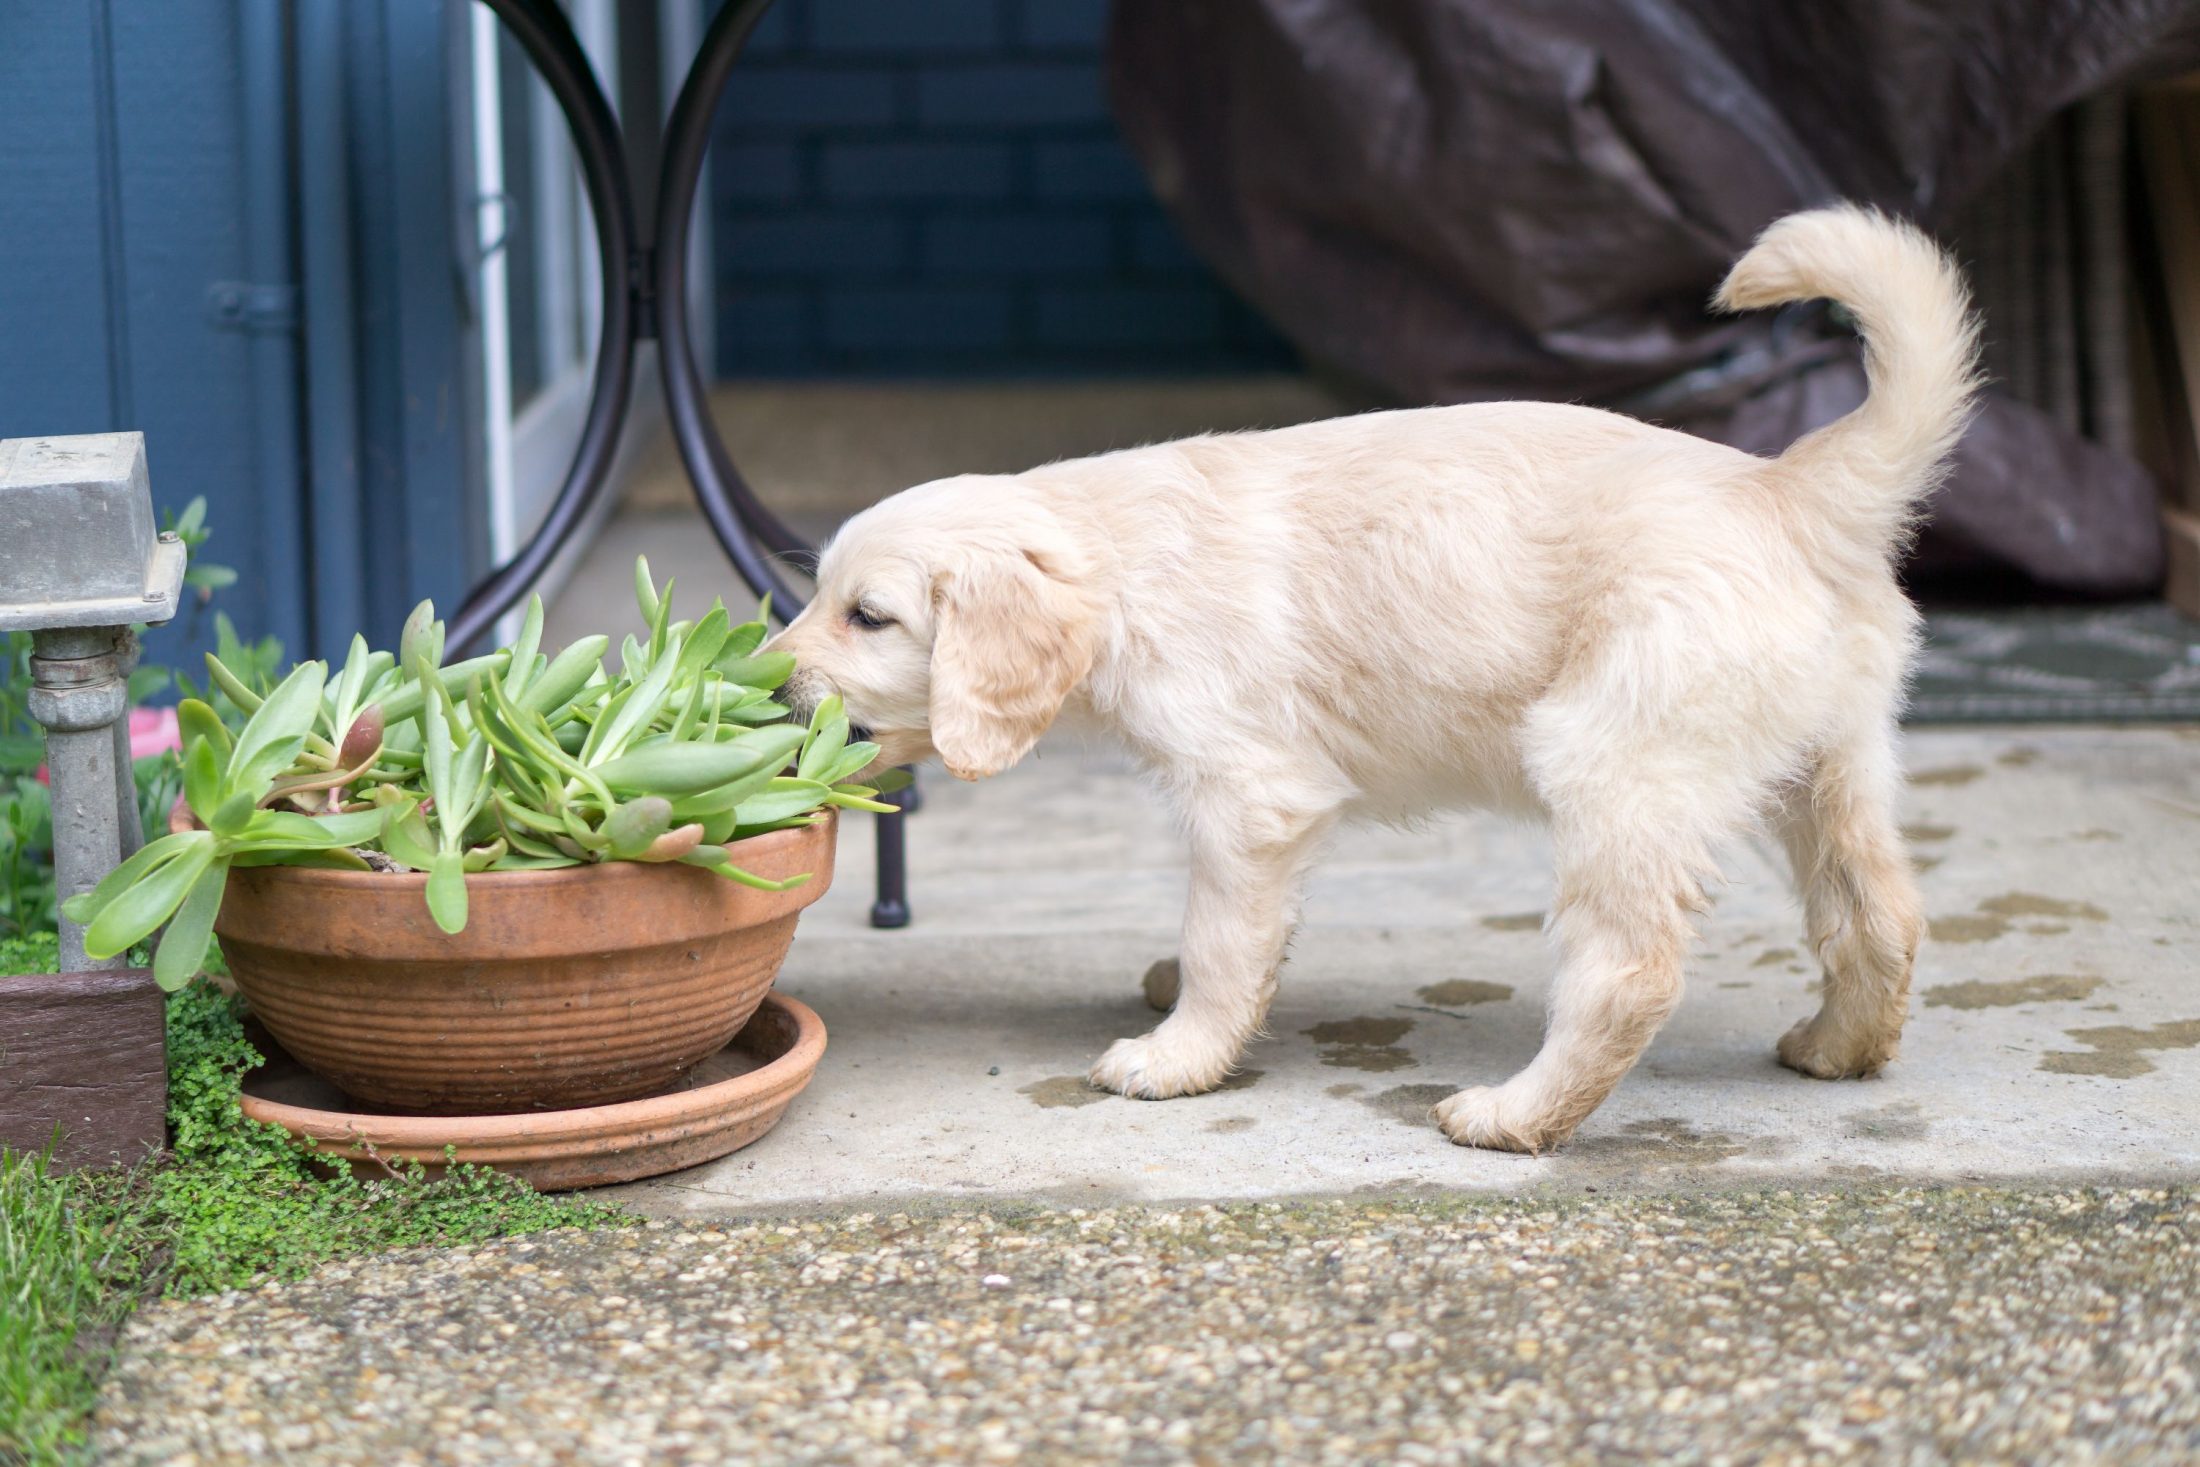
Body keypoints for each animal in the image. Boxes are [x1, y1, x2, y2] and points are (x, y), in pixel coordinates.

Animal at [770, 206, 1980, 1152]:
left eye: (869, 616)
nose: (771, 690)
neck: (1118, 562)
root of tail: (1790, 490)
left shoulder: (1250, 792)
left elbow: (1221, 937)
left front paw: (1177, 1052)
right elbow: (1246, 932)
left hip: (1617, 759)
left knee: (1628, 971)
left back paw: (1513, 1116)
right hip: (1829, 760)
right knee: (1878, 912)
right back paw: (1835, 1048)